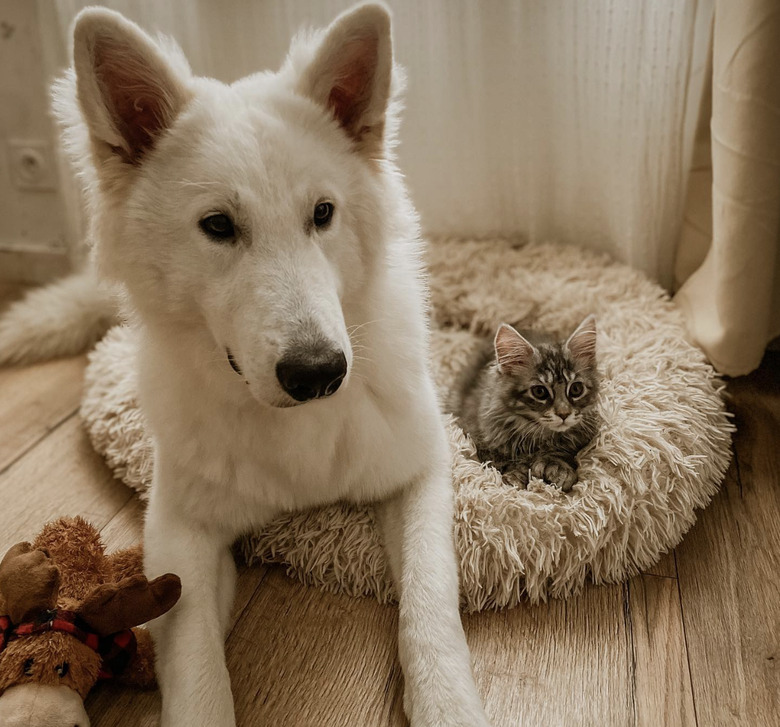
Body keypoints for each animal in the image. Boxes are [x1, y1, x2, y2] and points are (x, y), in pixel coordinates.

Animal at [0, 4, 490, 727]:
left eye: (323, 213)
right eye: (218, 226)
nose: (319, 374)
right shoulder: (180, 530)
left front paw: (448, 703)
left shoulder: (419, 472)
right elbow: (195, 667)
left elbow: (431, 602)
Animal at [448, 316, 600, 492]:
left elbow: (562, 453)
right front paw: (516, 474)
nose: (564, 414)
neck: (536, 434)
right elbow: (500, 461)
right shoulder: (477, 434)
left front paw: (559, 469)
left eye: (576, 389)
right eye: (539, 392)